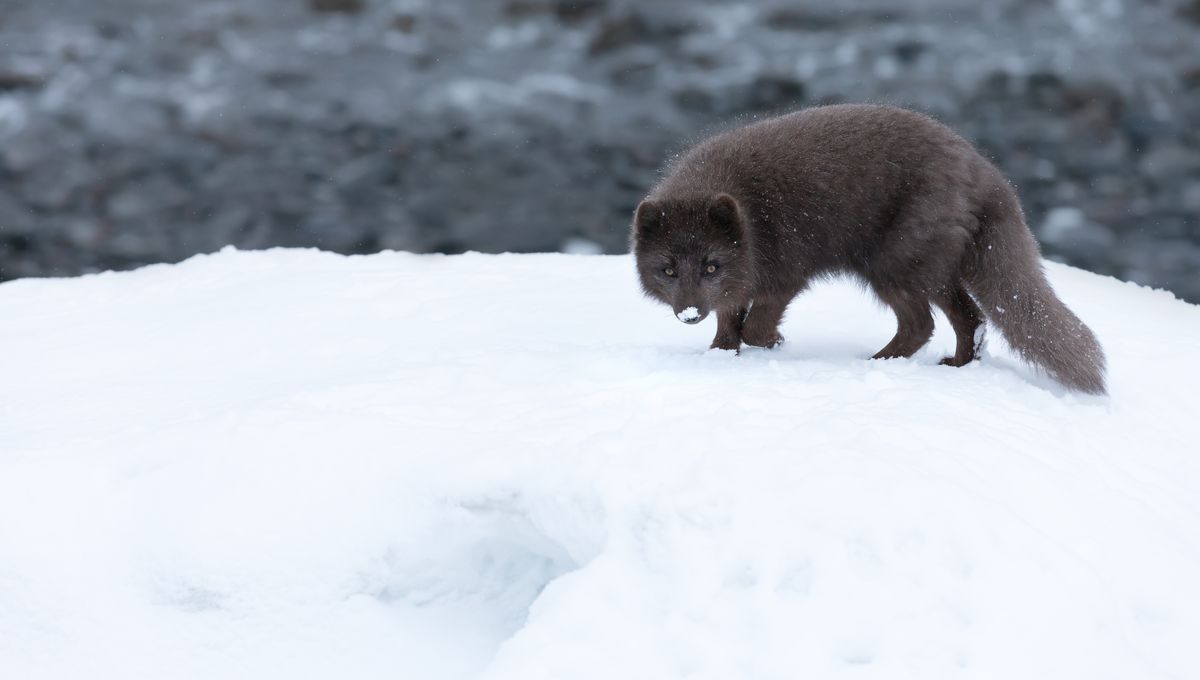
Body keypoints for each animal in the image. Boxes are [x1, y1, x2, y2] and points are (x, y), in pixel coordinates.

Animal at [631, 104, 1107, 394]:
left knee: (922, 325)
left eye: (711, 266)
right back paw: (956, 365)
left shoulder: (784, 273)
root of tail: (987, 172)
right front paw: (719, 355)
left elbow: (755, 326)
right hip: (930, 268)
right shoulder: (740, 281)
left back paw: (876, 363)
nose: (689, 313)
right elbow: (730, 321)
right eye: (668, 270)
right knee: (971, 318)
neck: (750, 215)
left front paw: (774, 344)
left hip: (893, 266)